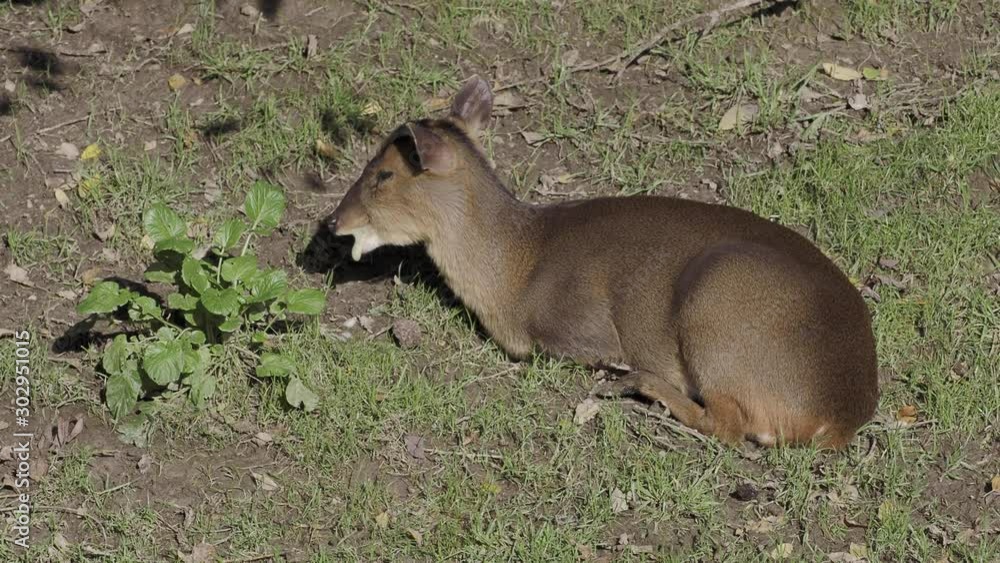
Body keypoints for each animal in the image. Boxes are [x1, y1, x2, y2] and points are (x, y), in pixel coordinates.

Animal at [326, 75, 878, 449]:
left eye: (383, 175)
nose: (332, 220)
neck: (515, 266)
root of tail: (837, 414)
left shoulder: (578, 332)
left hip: (718, 303)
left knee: (729, 425)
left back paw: (638, 384)